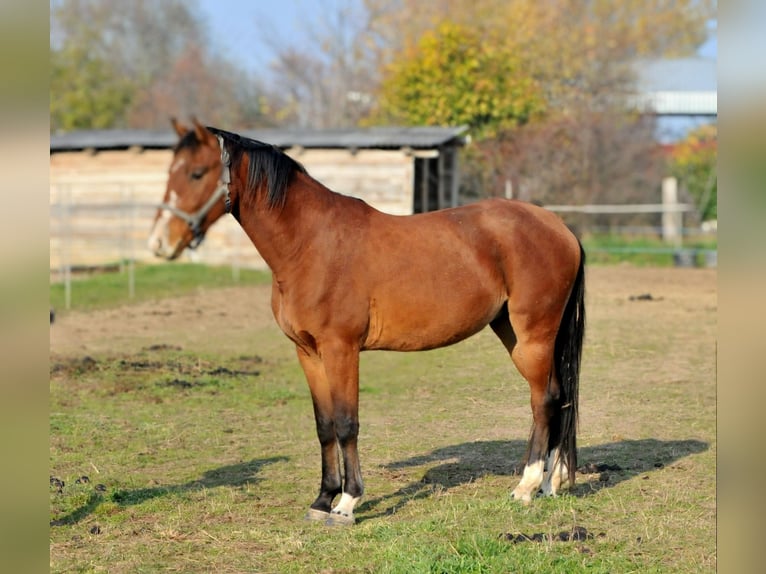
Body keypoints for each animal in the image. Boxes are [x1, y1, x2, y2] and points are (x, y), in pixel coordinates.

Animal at [150, 119, 588, 528]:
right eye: (170, 170)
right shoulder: (307, 352)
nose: (159, 243)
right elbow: (324, 425)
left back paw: (527, 487)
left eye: (196, 173)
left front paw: (346, 503)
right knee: (557, 395)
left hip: (534, 333)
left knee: (544, 400)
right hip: (513, 333)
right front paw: (321, 500)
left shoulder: (341, 348)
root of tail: (560, 228)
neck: (310, 243)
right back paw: (551, 483)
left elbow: (347, 423)